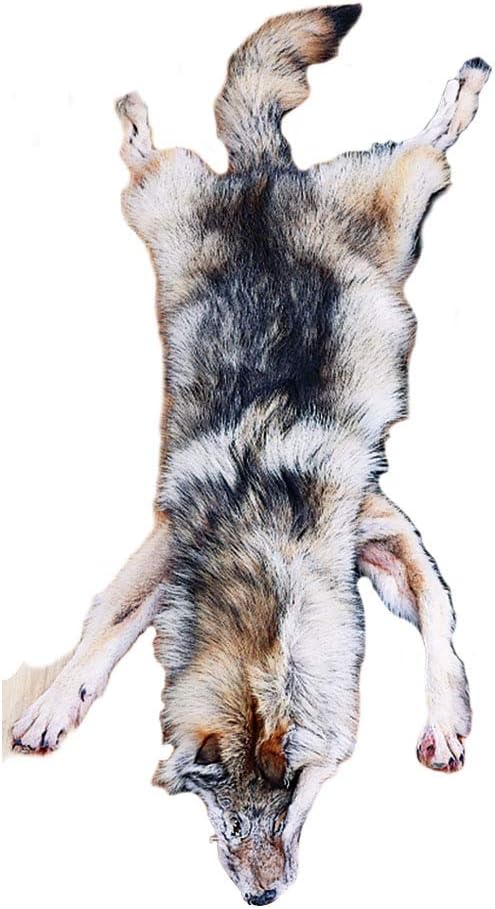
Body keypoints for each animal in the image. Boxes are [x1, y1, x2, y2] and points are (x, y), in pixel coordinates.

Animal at [10, 5, 490, 904]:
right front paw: (53, 704)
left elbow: (442, 621)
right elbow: (100, 631)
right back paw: (134, 110)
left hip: (399, 206)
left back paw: (468, 81)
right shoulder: (169, 543)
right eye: (221, 797)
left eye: (295, 784)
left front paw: (445, 723)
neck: (262, 552)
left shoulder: (383, 529)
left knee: (429, 140)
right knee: (150, 151)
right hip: (161, 210)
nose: (262, 894)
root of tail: (267, 175)